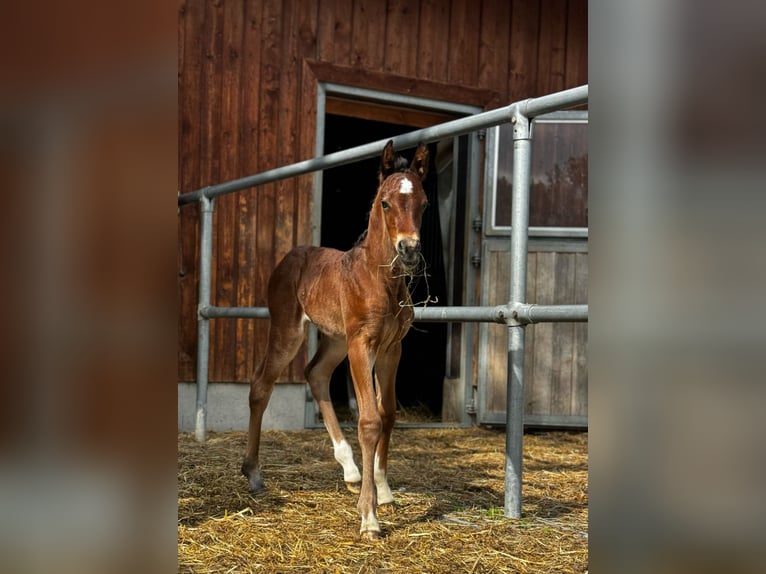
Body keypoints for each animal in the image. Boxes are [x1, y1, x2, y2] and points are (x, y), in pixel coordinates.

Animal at [242, 140, 432, 540]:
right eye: (385, 203)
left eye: (423, 204)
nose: (409, 249)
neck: (381, 279)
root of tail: (291, 254)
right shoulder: (363, 344)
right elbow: (369, 420)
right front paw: (369, 516)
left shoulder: (392, 348)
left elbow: (388, 413)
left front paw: (383, 488)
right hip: (290, 331)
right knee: (261, 385)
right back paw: (253, 473)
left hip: (335, 340)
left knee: (316, 374)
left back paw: (350, 469)